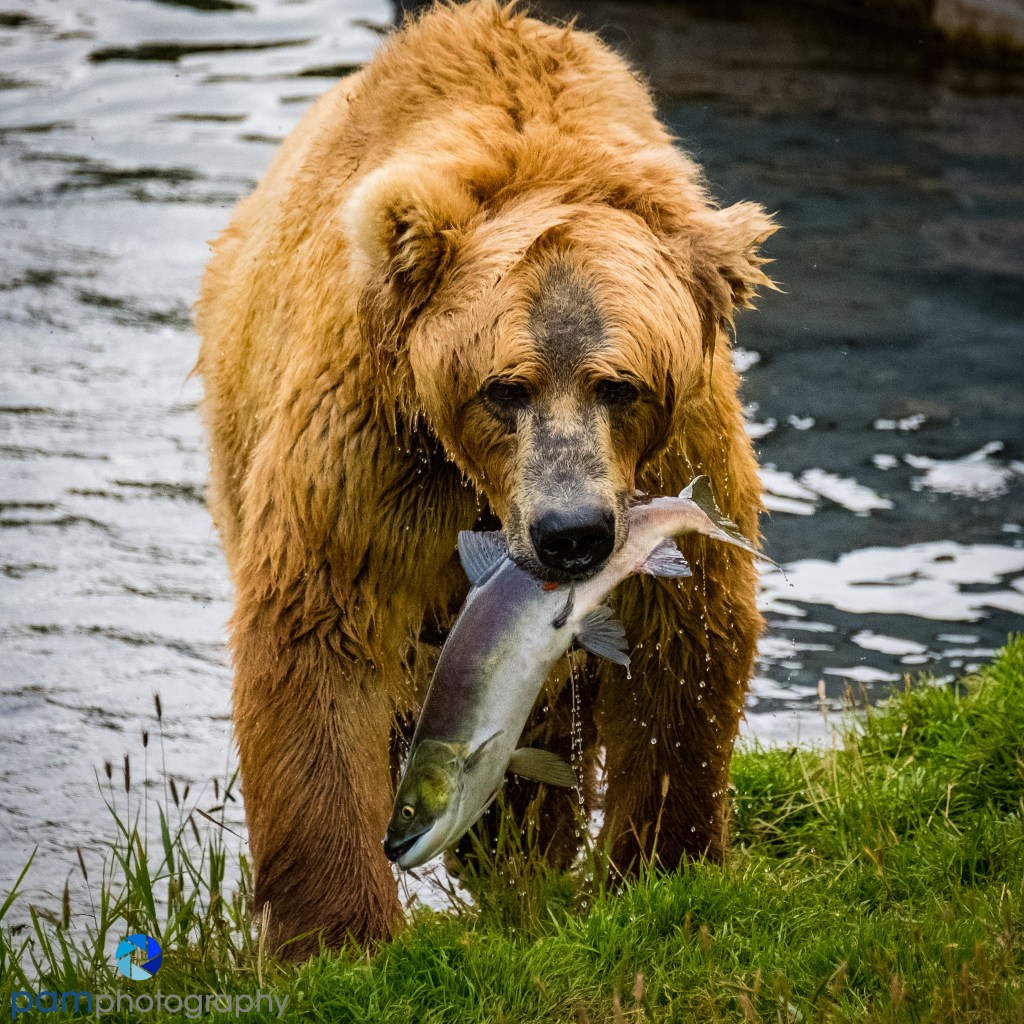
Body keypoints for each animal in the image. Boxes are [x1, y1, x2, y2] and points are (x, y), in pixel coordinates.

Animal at [195, 0, 776, 958]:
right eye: (505, 388)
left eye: (619, 385)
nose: (572, 533)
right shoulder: (375, 445)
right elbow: (321, 630)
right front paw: (340, 936)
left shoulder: (677, 444)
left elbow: (683, 641)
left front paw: (663, 867)